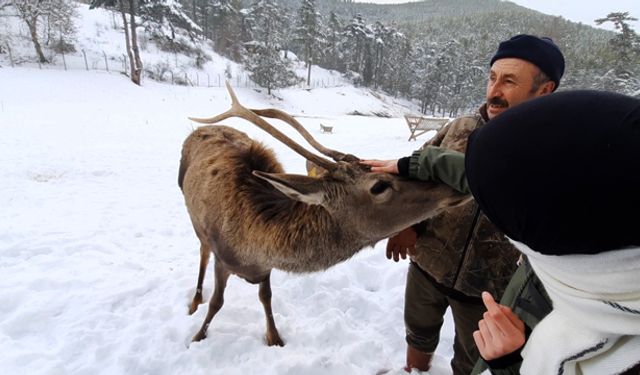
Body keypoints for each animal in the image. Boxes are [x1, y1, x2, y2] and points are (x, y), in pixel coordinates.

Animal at [180, 82, 470, 346]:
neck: (254, 248)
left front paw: (275, 337)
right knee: (202, 254)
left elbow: (266, 297)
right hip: (195, 221)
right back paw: (195, 300)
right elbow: (217, 302)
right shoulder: (223, 258)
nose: (451, 184)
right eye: (378, 186)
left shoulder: (265, 270)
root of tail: (199, 130)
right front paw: (197, 336)